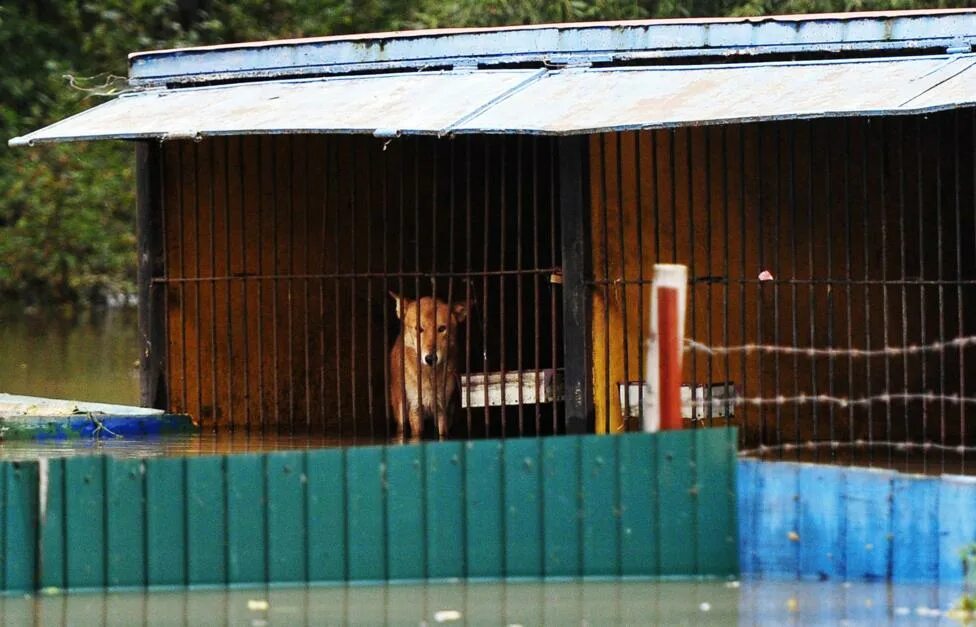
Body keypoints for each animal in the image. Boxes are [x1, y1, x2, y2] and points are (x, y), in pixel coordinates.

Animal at [386, 294, 468, 442]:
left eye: (442, 329)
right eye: (419, 329)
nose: (430, 358)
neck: (429, 376)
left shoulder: (443, 409)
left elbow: (443, 434)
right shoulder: (415, 409)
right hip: (401, 408)